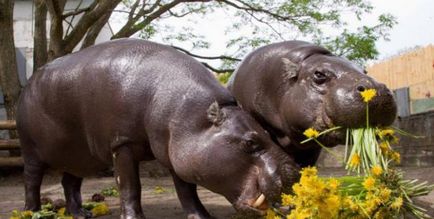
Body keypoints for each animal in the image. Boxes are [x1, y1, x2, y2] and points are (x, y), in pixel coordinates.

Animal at [17, 38, 302, 218]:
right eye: (250, 142)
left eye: (268, 133)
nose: (295, 172)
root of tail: (30, 81)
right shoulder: (122, 144)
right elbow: (130, 186)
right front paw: (135, 218)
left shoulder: (174, 149)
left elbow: (187, 190)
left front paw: (202, 216)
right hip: (32, 152)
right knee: (31, 181)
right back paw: (33, 212)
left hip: (79, 157)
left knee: (70, 182)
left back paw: (82, 214)